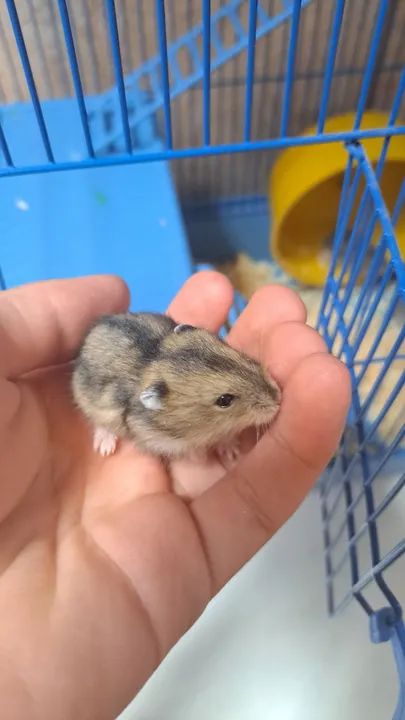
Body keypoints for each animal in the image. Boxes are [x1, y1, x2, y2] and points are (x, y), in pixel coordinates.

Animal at [72, 312, 281, 461]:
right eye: (224, 400)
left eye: (238, 355)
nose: (278, 400)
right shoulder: (159, 440)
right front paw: (205, 456)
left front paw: (232, 451)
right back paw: (106, 448)